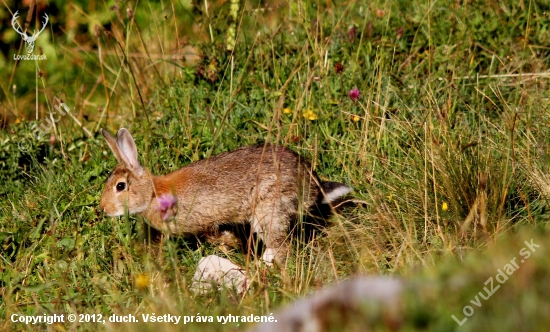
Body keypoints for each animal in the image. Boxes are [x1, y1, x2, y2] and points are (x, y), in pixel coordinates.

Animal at [101, 128, 352, 264]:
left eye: (120, 186)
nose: (103, 209)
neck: (153, 194)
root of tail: (310, 185)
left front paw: (229, 241)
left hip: (268, 210)